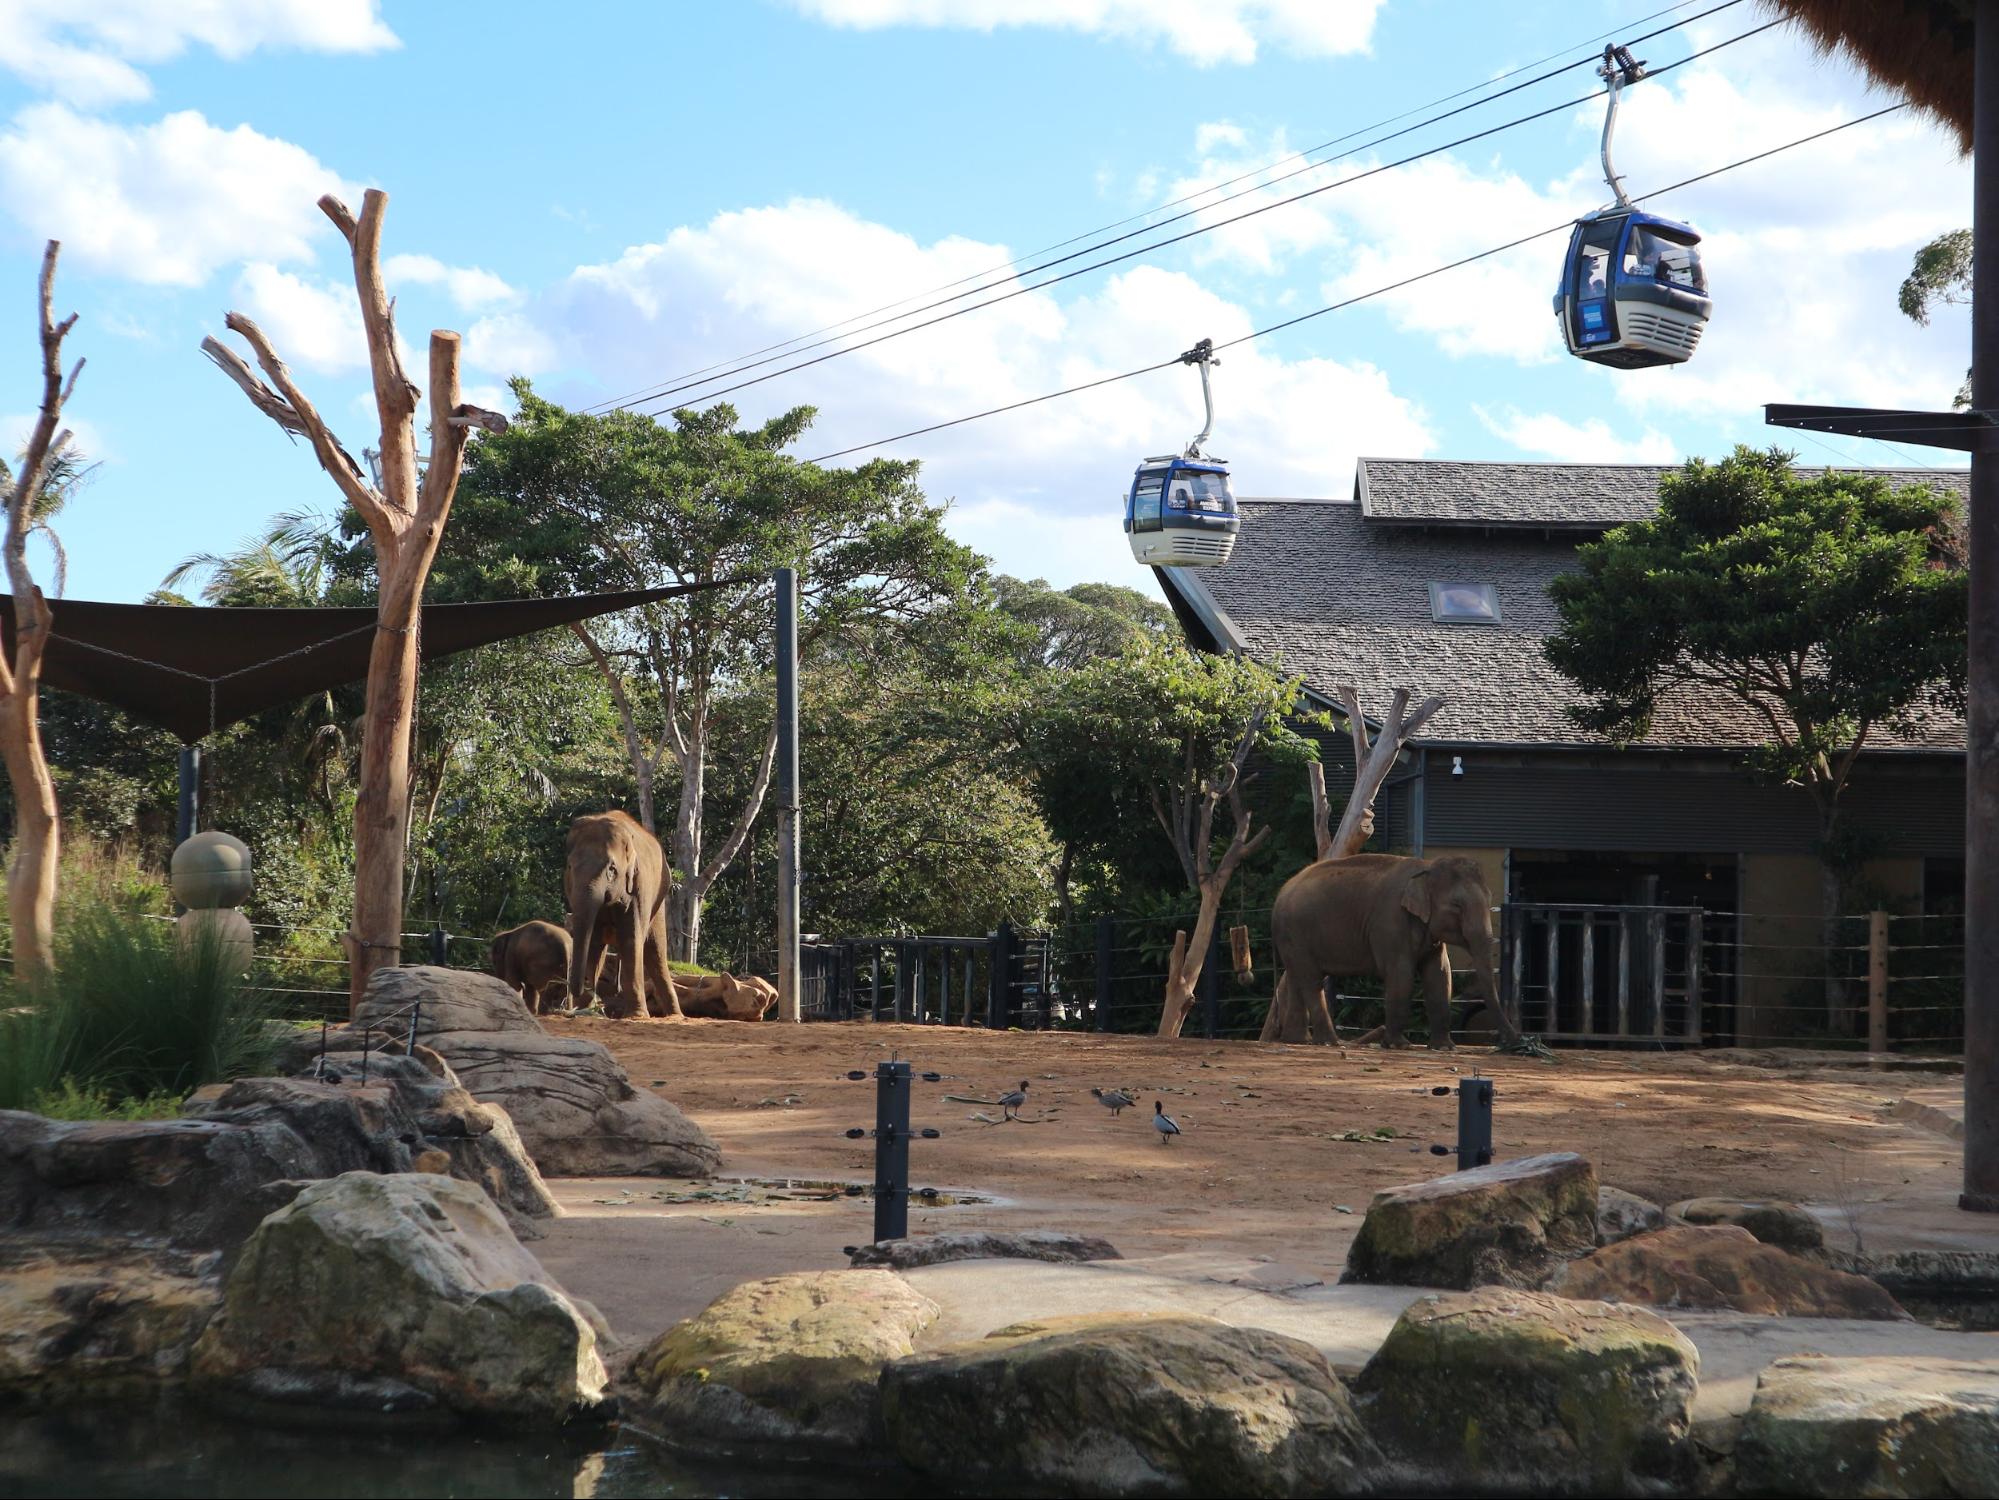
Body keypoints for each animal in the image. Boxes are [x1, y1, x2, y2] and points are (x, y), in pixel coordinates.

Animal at [567, 816, 683, 1032]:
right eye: (569, 867)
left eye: (612, 869)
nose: (583, 990)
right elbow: (593, 943)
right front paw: (585, 1008)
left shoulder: (639, 888)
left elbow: (632, 939)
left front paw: (636, 1016)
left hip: (659, 902)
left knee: (656, 953)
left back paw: (676, 1016)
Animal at [1263, 856, 1511, 1056]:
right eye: (1457, 906)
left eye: (1490, 899)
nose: (1511, 1041)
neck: (1426, 866)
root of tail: (1279, 896)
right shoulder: (1390, 922)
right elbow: (1401, 973)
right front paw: (1399, 1045)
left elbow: (1439, 974)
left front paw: (1444, 1047)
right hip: (1296, 933)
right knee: (1311, 979)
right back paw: (1329, 1042)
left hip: (1293, 940)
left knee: (1296, 977)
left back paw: (1298, 1040)